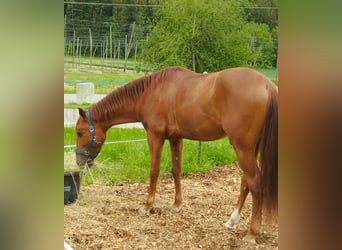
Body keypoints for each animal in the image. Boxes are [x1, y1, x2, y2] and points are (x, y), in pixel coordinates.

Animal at [75, 66, 278, 242]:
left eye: (79, 132)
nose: (79, 161)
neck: (151, 92)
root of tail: (268, 86)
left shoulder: (155, 137)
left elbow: (154, 171)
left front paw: (147, 206)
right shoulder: (176, 138)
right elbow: (176, 170)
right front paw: (176, 205)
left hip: (242, 148)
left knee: (255, 183)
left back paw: (252, 233)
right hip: (251, 149)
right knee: (246, 181)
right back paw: (232, 220)